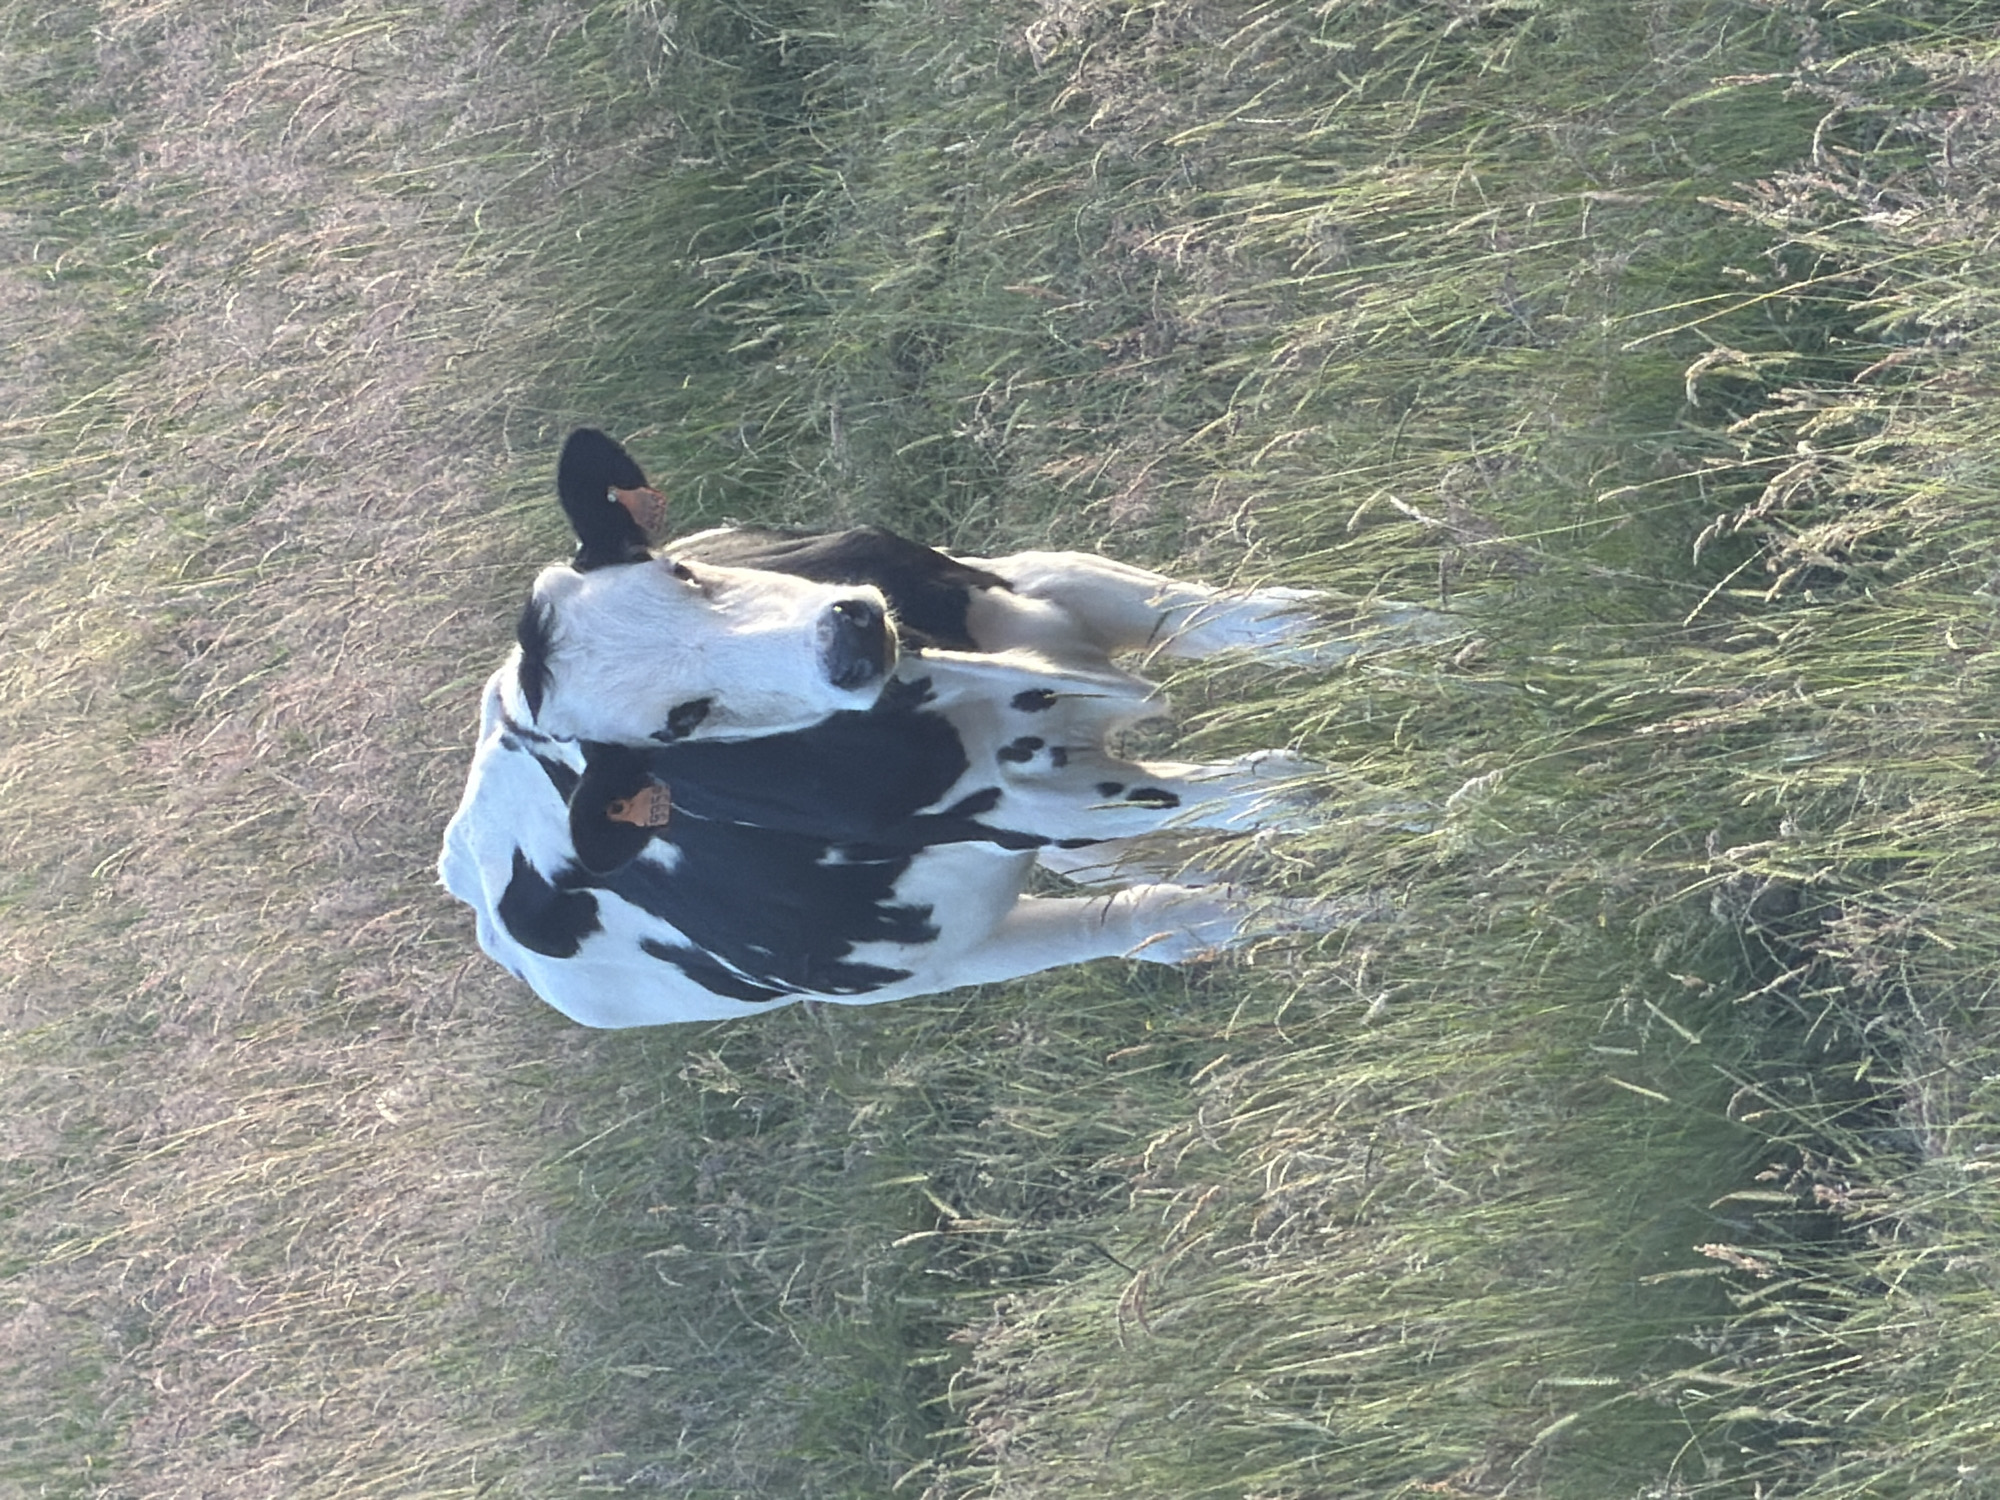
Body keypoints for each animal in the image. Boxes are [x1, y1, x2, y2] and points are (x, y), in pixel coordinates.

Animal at [439, 429, 1427, 1026]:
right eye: (680, 721)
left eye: (679, 572)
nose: (845, 636)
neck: (936, 675)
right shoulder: (1039, 802)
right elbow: (1288, 783)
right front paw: (1435, 815)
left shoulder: (1044, 582)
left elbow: (1295, 624)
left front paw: (1445, 630)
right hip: (944, 957)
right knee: (1160, 917)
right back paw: (1356, 913)